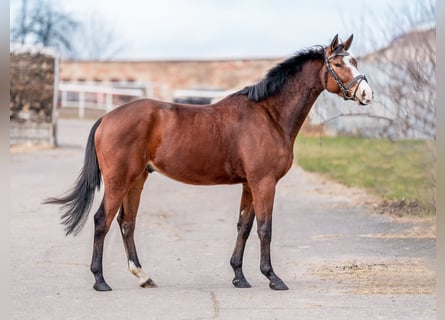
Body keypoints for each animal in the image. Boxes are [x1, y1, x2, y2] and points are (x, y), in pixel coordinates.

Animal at [45, 33, 372, 292]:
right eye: (338, 64)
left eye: (355, 60)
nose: (366, 93)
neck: (269, 115)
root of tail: (107, 117)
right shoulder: (264, 182)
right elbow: (265, 228)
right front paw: (272, 277)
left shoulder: (250, 184)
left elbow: (244, 226)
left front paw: (239, 276)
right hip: (119, 180)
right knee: (103, 221)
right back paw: (100, 280)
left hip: (137, 178)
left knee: (127, 223)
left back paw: (143, 276)